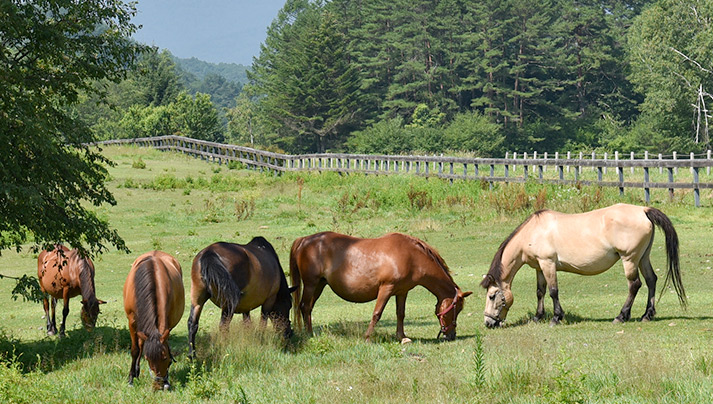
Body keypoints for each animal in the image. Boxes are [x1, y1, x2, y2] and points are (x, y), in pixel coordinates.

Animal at [122, 251, 184, 390]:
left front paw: (167, 381)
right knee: (140, 344)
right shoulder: (132, 322)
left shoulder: (168, 323)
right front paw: (131, 378)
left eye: (165, 358)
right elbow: (135, 350)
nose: (158, 385)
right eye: (147, 359)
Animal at [290, 230, 472, 340]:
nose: (451, 335)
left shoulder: (402, 292)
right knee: (305, 306)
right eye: (457, 308)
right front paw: (367, 337)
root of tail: (304, 240)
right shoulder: (386, 288)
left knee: (308, 308)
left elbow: (401, 314)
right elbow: (377, 313)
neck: (412, 257)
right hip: (311, 284)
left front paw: (401, 336)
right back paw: (309, 334)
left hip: (319, 285)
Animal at [478, 202, 684, 328]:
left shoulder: (548, 264)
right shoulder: (539, 267)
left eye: (492, 296)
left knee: (635, 285)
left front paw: (556, 318)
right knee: (651, 280)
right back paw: (647, 315)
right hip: (643, 257)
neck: (533, 231)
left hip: (630, 259)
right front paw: (537, 317)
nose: (488, 323)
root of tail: (643, 210)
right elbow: (540, 292)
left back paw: (621, 316)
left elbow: (553, 291)